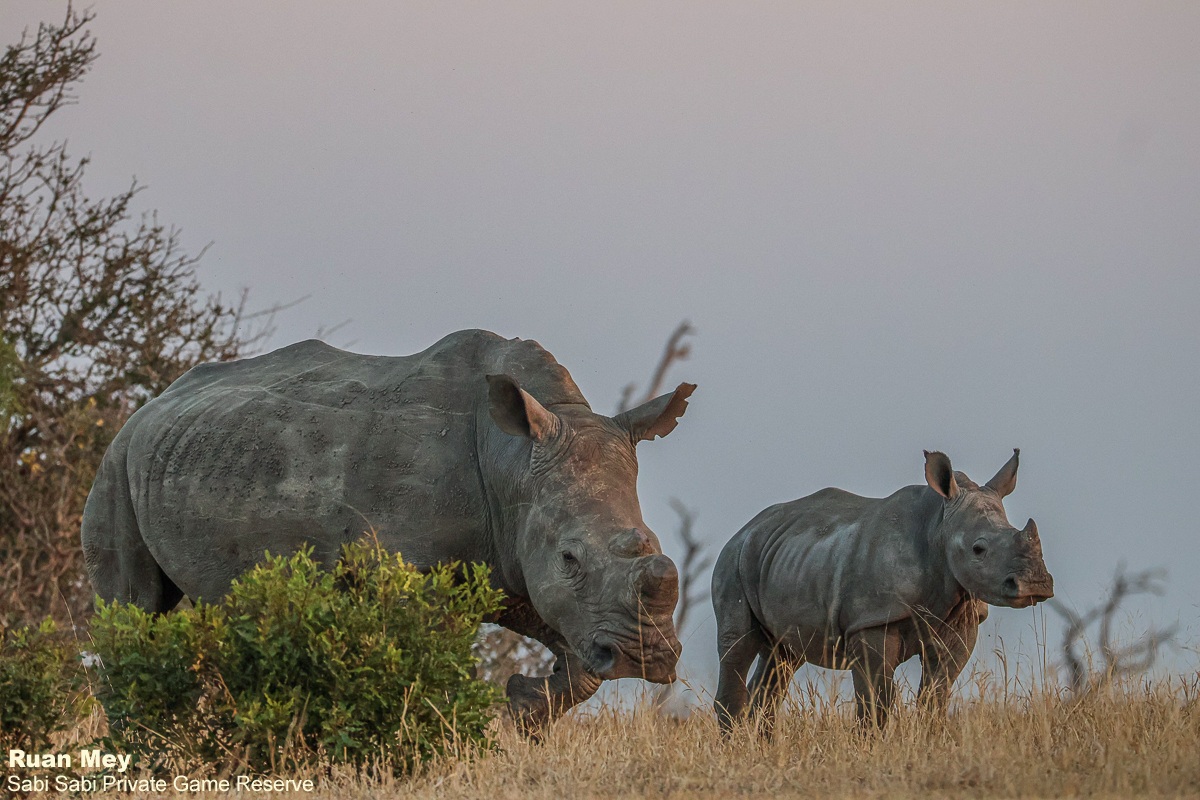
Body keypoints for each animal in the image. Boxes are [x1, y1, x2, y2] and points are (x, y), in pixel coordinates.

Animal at [81, 329, 694, 733]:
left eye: (655, 544)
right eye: (570, 558)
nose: (644, 658)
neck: (511, 458)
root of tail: (153, 403)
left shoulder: (517, 563)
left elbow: (576, 659)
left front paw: (523, 705)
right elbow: (423, 661)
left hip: (203, 453)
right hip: (116, 463)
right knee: (133, 609)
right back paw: (139, 742)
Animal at [712, 449, 1053, 732]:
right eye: (978, 549)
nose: (1036, 585)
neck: (939, 527)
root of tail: (747, 527)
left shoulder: (962, 618)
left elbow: (936, 693)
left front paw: (931, 740)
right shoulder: (870, 620)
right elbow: (877, 700)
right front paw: (872, 744)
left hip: (785, 557)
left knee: (783, 656)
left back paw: (760, 745)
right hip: (733, 560)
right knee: (738, 647)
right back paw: (736, 745)